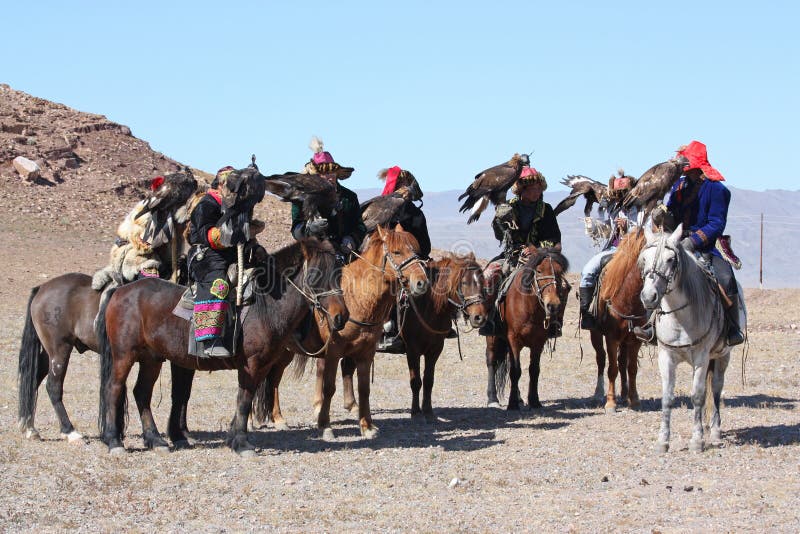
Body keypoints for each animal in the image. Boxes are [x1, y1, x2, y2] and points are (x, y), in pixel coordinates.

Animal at [94, 241, 346, 458]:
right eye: (316, 275)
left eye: (339, 274)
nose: (341, 317)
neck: (265, 305)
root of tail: (120, 291)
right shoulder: (251, 364)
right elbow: (244, 400)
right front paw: (242, 444)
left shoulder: (263, 366)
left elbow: (245, 399)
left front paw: (233, 438)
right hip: (123, 356)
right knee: (113, 389)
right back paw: (114, 442)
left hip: (151, 359)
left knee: (142, 393)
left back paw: (155, 440)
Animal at [256, 225, 432, 440]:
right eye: (397, 252)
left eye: (417, 251)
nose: (421, 283)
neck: (357, 298)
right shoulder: (333, 352)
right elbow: (329, 388)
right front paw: (325, 425)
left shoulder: (366, 353)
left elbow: (364, 389)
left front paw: (367, 426)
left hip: (285, 352)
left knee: (273, 379)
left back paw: (278, 418)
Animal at [482, 249, 568, 412]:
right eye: (539, 271)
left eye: (560, 272)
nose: (553, 305)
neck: (529, 307)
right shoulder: (514, 340)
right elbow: (515, 371)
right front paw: (512, 404)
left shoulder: (538, 342)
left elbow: (534, 370)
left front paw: (534, 401)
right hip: (493, 337)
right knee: (491, 361)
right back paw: (492, 399)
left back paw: (520, 398)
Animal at [592, 229, 648, 410]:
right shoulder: (612, 338)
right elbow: (612, 369)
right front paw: (610, 402)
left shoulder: (635, 339)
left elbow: (631, 368)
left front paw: (634, 399)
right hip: (595, 334)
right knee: (601, 359)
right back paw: (598, 393)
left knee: (623, 362)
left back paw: (624, 394)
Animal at [636, 224, 744, 454]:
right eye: (644, 259)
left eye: (671, 259)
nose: (648, 297)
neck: (680, 318)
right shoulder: (666, 356)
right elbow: (668, 398)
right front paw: (663, 441)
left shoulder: (701, 358)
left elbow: (698, 396)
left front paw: (697, 441)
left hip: (723, 355)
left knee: (716, 389)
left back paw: (715, 432)